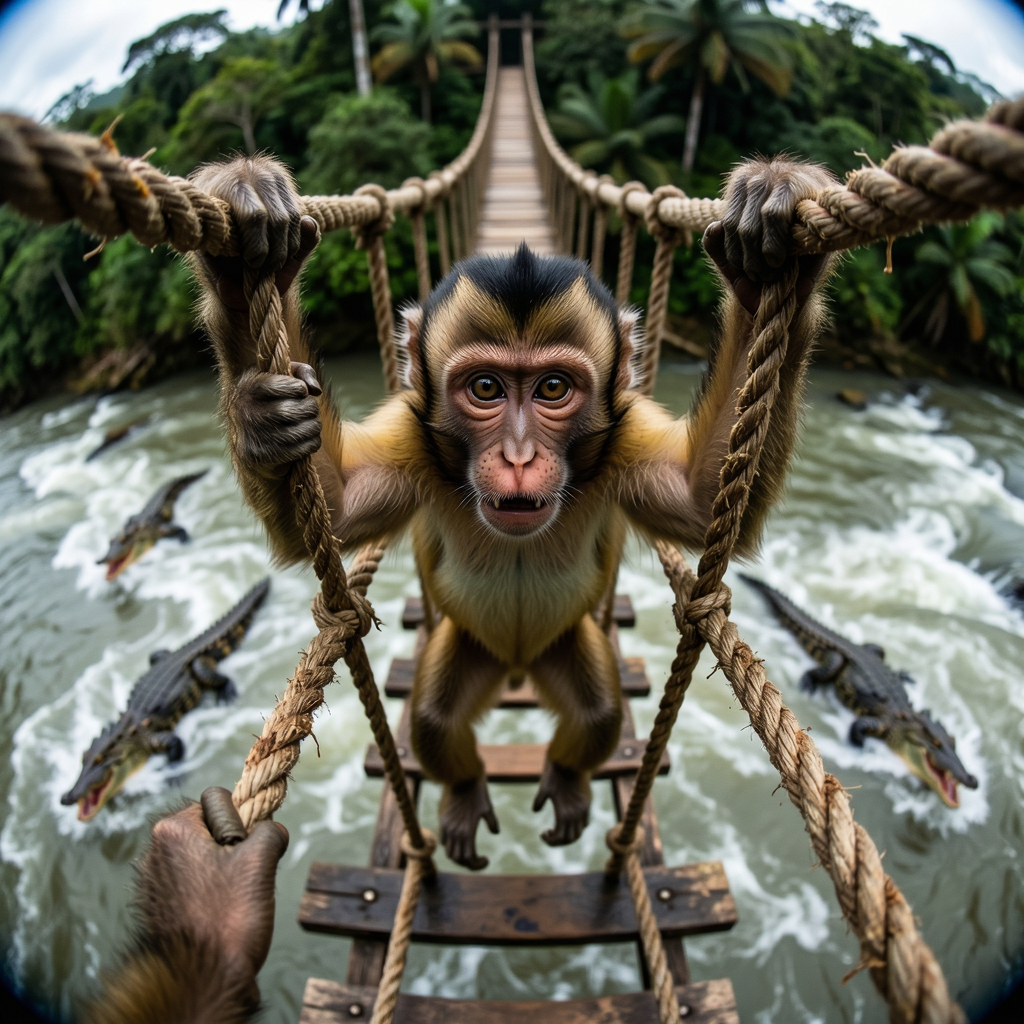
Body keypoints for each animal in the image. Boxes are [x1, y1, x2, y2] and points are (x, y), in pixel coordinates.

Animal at [188, 155, 835, 870]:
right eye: (486, 388)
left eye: (552, 388)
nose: (520, 456)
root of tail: (519, 665)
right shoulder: (414, 440)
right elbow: (340, 503)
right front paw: (244, 285)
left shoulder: (623, 438)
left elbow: (700, 501)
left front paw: (773, 255)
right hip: (473, 647)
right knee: (435, 719)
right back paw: (466, 790)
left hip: (562, 646)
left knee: (598, 714)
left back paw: (568, 778)